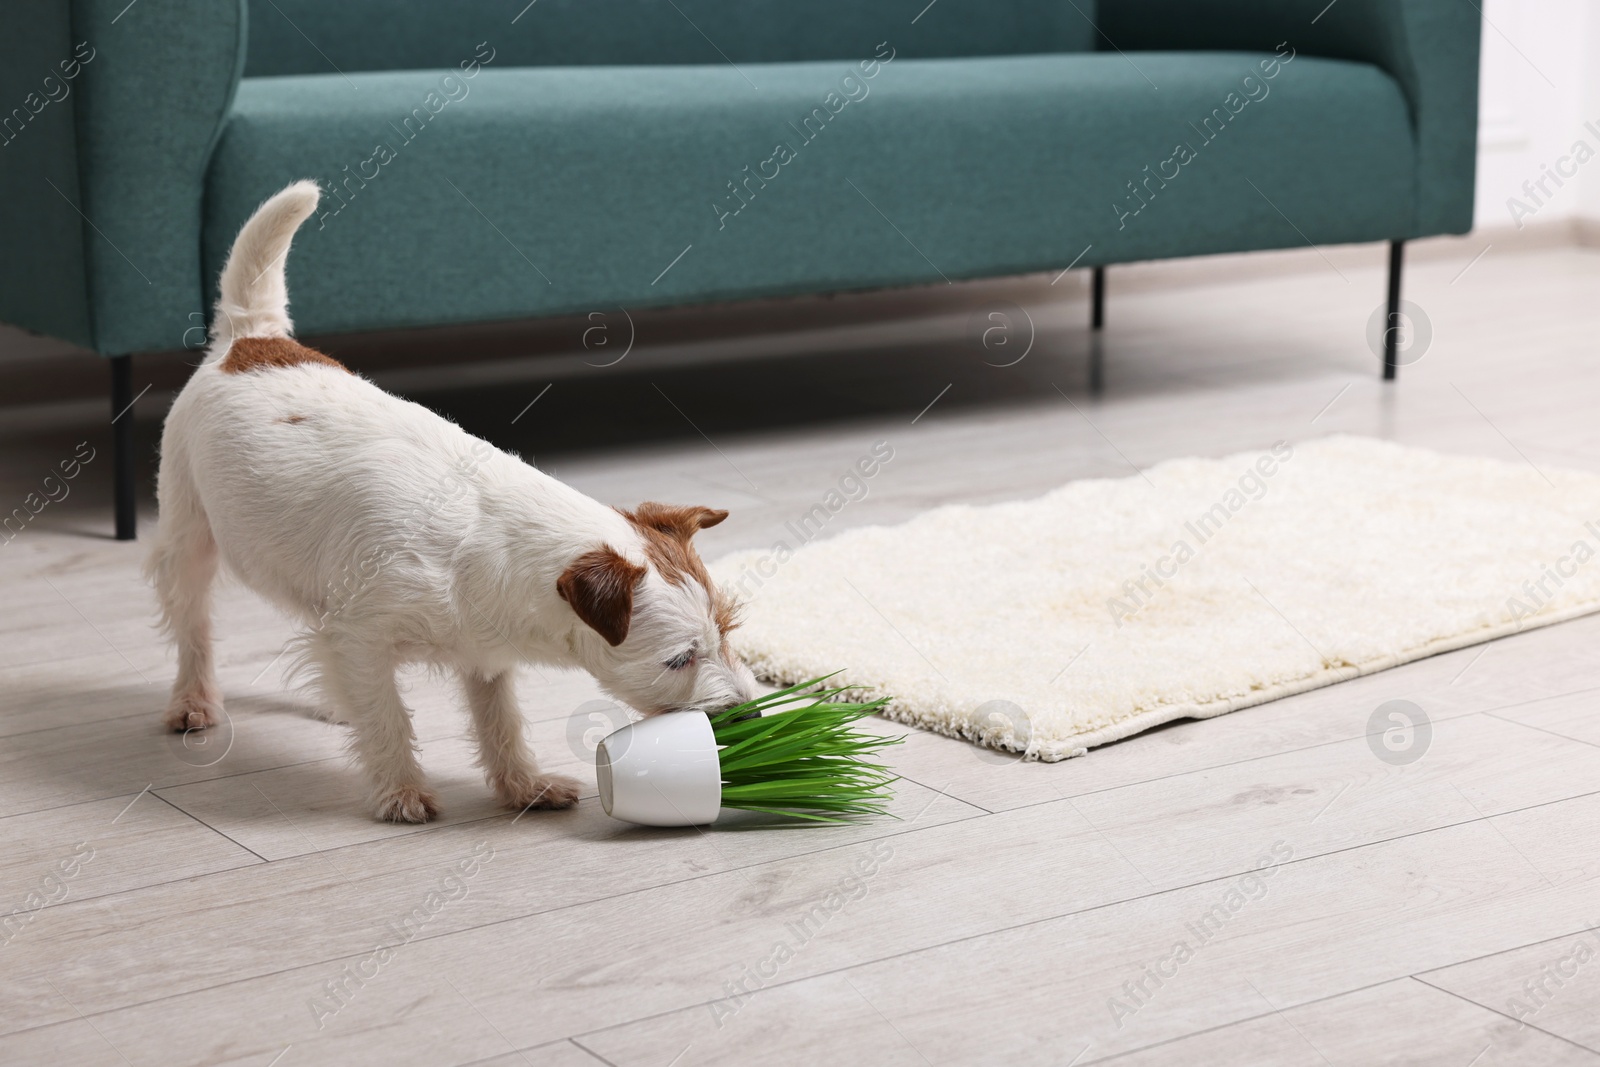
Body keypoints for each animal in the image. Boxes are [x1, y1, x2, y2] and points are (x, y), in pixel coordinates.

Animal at [144, 179, 755, 825]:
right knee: (193, 624)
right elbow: (387, 716)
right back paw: (193, 702)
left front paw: (524, 785)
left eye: (726, 631)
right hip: (189, 535)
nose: (749, 708)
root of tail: (249, 339)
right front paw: (401, 791)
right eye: (678, 659)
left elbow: (499, 720)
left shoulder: (482, 654)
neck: (492, 537)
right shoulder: (363, 635)